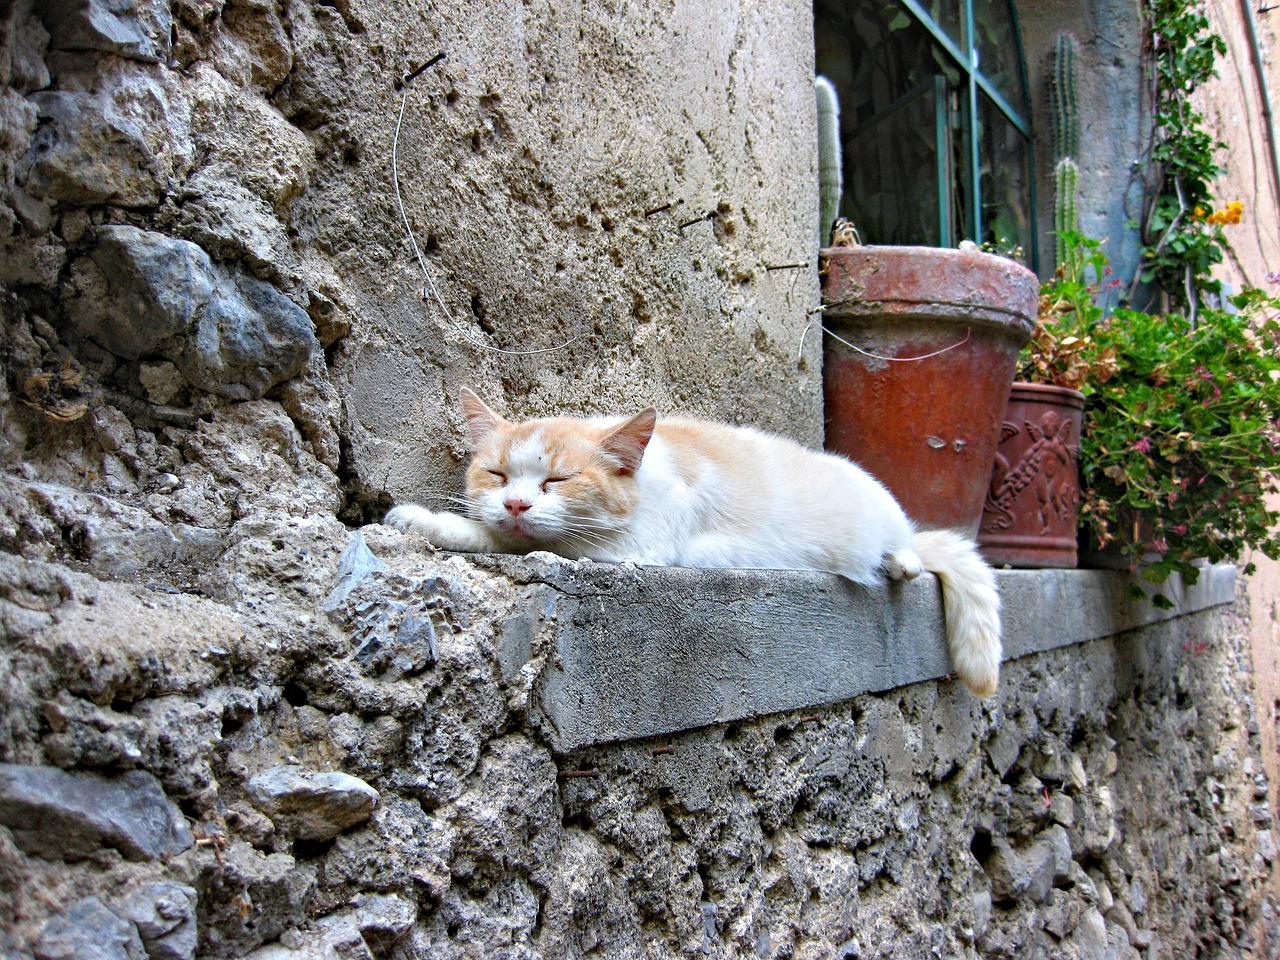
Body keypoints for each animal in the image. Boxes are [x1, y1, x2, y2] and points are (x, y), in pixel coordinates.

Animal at [378, 391, 998, 701]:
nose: (515, 504)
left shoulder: (634, 548)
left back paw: (901, 560)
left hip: (883, 510)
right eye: (498, 475)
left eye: (556, 480)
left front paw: (434, 522)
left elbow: (526, 542)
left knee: (912, 542)